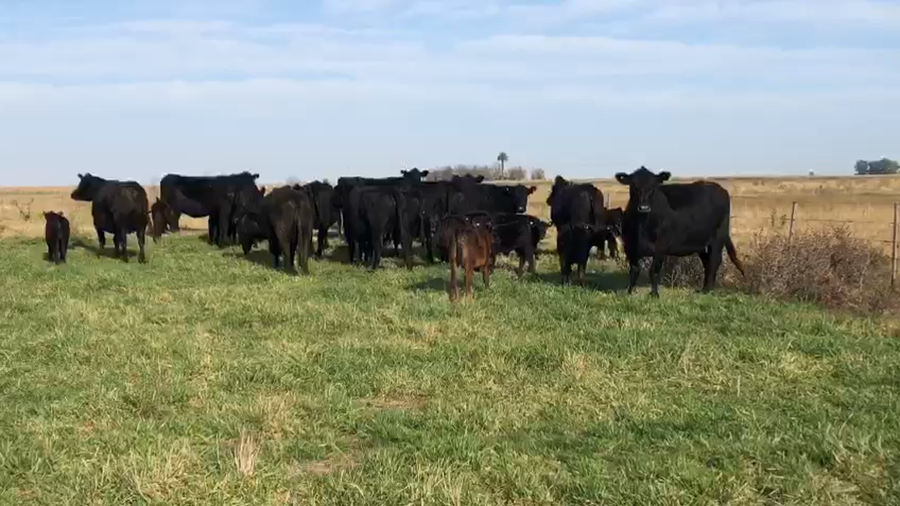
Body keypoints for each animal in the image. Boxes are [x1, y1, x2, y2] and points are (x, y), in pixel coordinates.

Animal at [615, 166, 745, 297]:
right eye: (634, 185)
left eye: (653, 186)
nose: (644, 208)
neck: (642, 227)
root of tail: (719, 188)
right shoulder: (630, 248)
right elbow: (634, 271)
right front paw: (629, 292)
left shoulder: (660, 247)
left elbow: (653, 271)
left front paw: (654, 295)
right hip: (701, 243)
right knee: (707, 263)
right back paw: (703, 289)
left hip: (718, 238)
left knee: (714, 261)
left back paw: (708, 290)